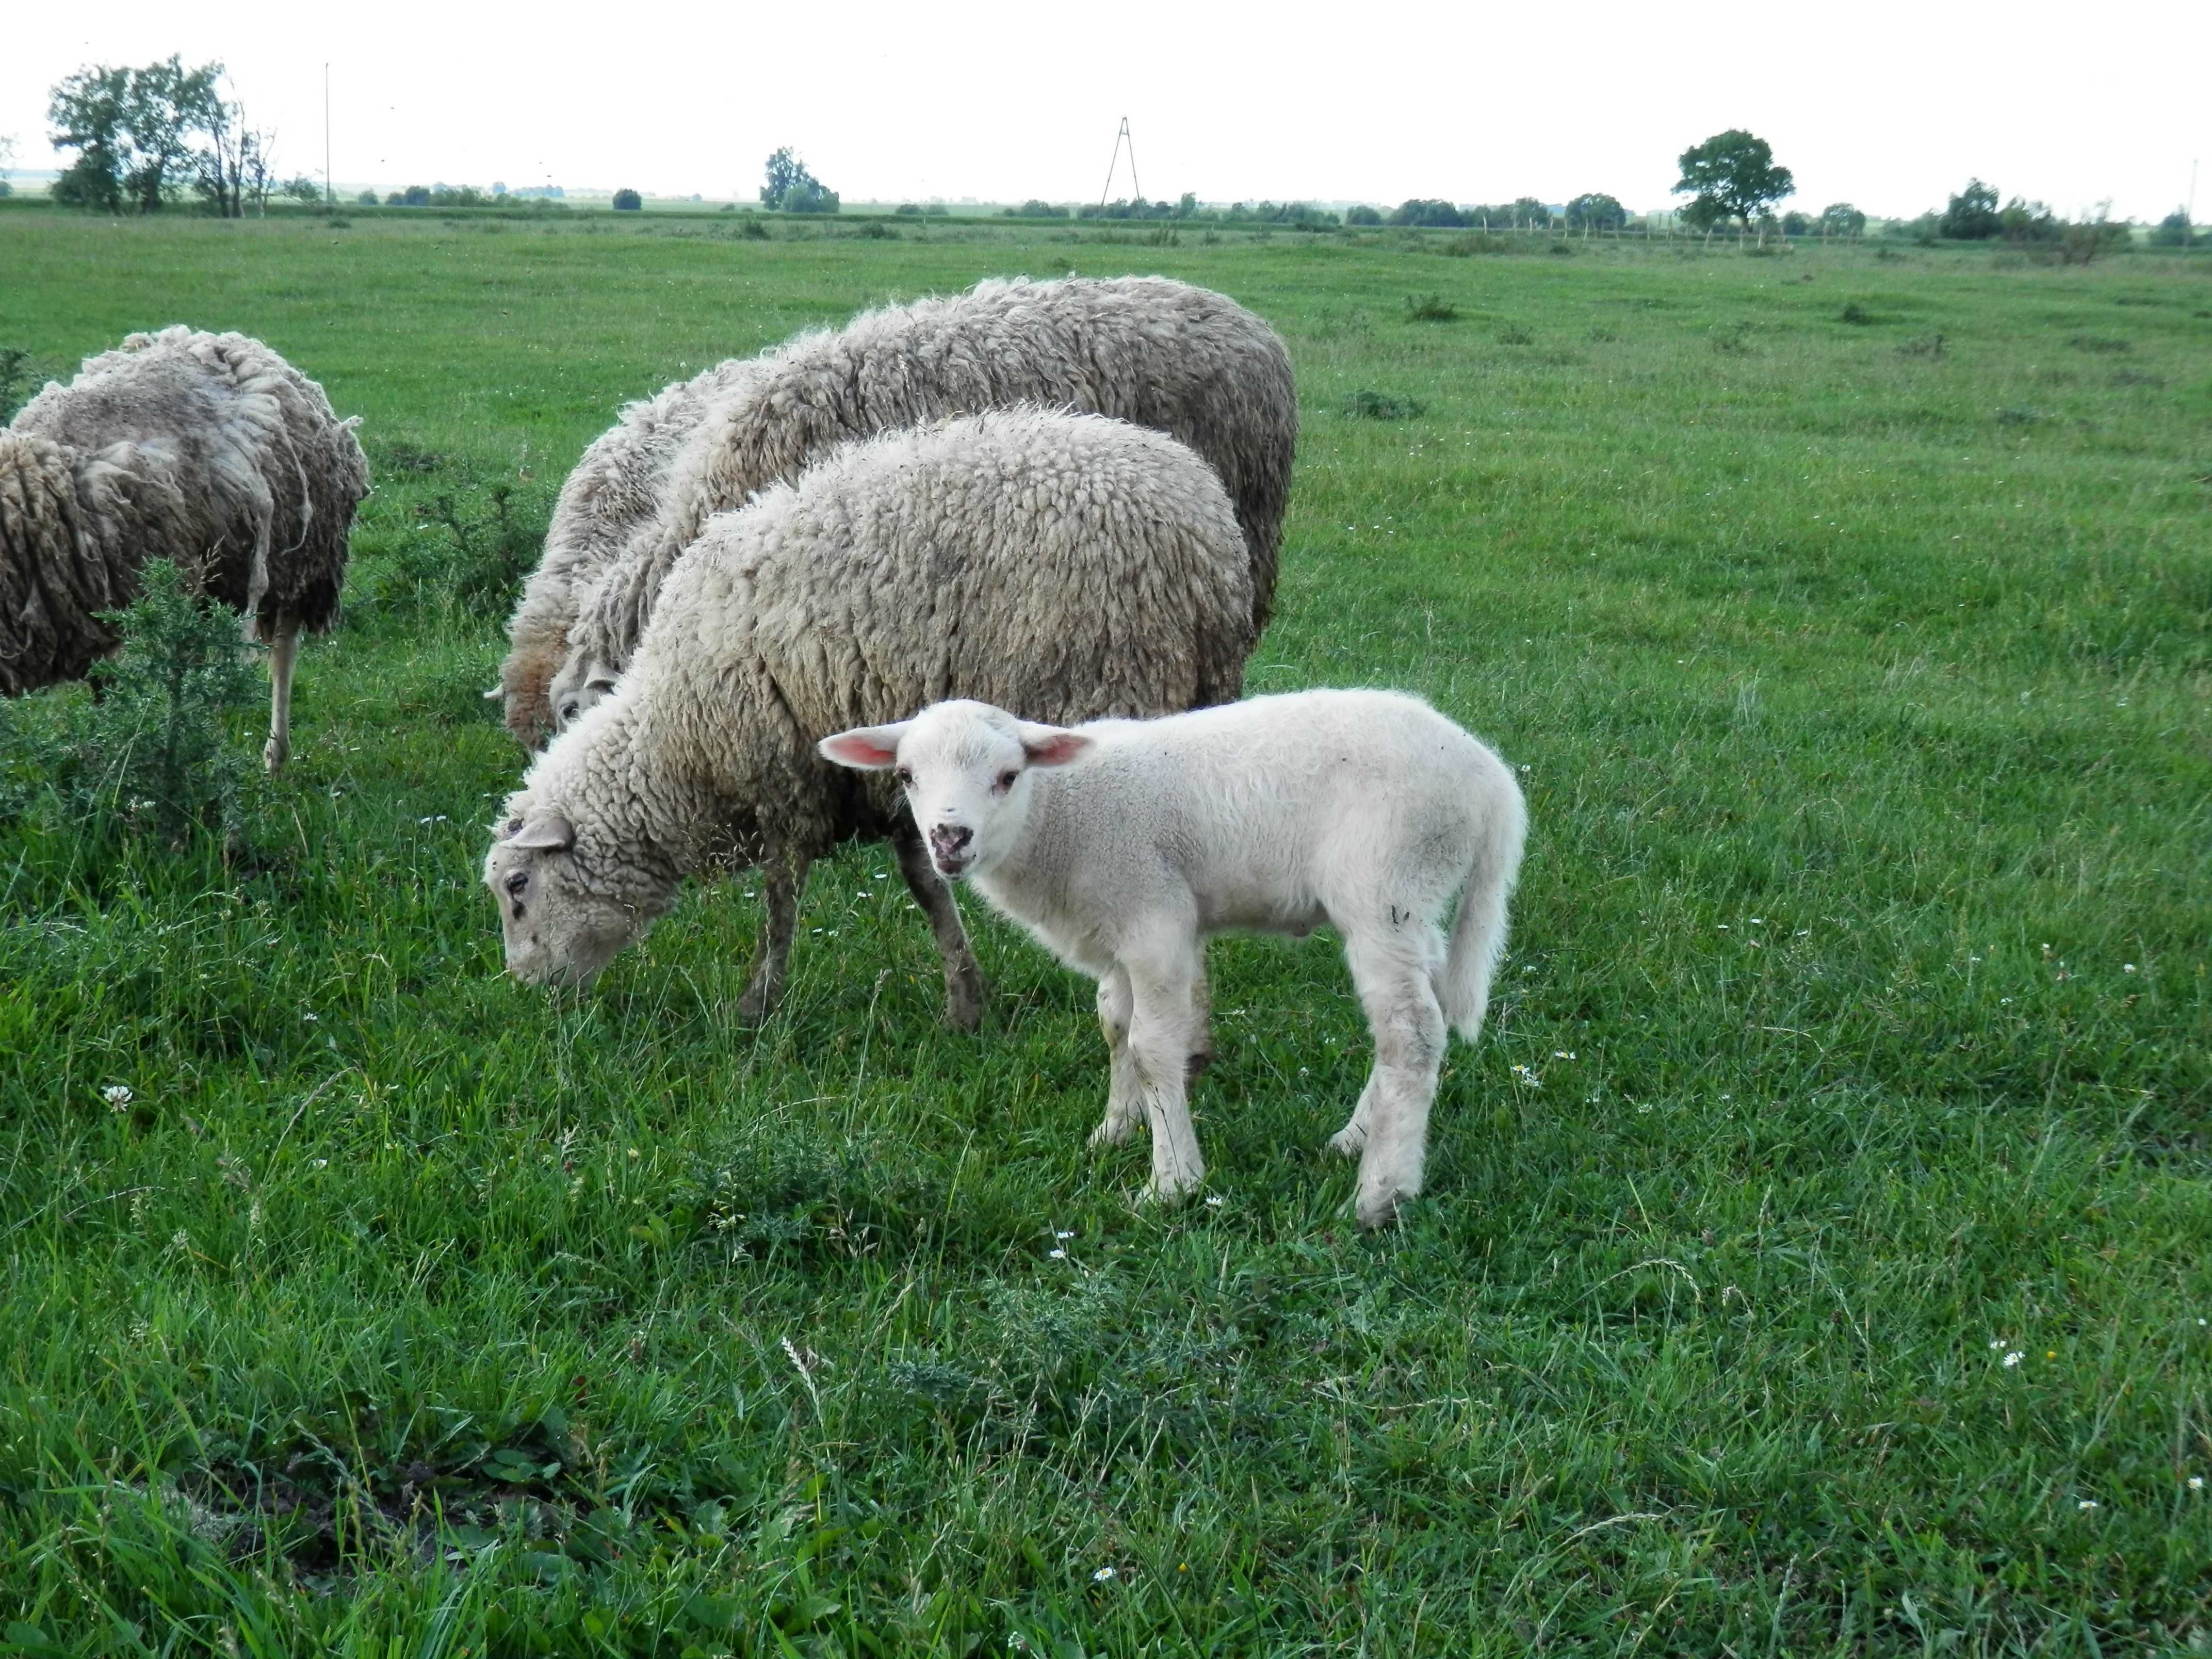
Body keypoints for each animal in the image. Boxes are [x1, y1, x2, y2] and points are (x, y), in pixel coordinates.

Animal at [489, 409, 1265, 1035]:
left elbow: (781, 901)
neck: (674, 748)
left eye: (518, 887)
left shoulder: (782, 775)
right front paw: (966, 1004)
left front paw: (757, 1007)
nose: (530, 991)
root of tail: (1206, 525)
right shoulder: (893, 777)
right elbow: (927, 887)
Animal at [823, 690, 1531, 1239]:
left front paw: (1171, 1183)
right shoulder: (1114, 931)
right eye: (907, 775)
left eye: (1007, 777)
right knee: (1417, 1016)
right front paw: (1114, 1130)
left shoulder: (1155, 920)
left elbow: (1153, 1048)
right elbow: (1113, 1027)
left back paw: (1379, 1195)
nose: (949, 839)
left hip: (1387, 884)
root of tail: (1491, 780)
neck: (1059, 815)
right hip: (1417, 901)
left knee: (1411, 1034)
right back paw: (1355, 1137)